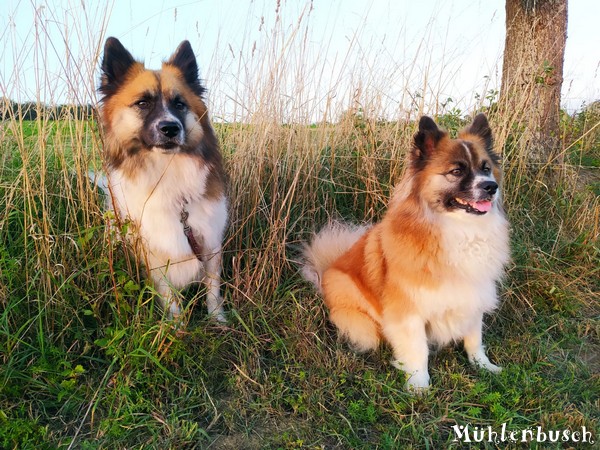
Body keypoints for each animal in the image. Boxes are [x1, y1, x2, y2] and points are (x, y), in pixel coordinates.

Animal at [97, 37, 229, 322]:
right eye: (142, 103)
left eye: (179, 104)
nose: (170, 128)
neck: (168, 172)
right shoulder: (155, 253)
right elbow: (170, 297)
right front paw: (177, 326)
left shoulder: (210, 242)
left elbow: (213, 287)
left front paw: (217, 318)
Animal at [302, 113, 508, 390]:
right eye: (456, 171)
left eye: (486, 168)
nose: (491, 187)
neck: (457, 229)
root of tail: (325, 271)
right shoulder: (408, 310)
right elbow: (418, 349)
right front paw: (419, 385)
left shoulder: (473, 294)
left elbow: (474, 338)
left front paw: (483, 366)